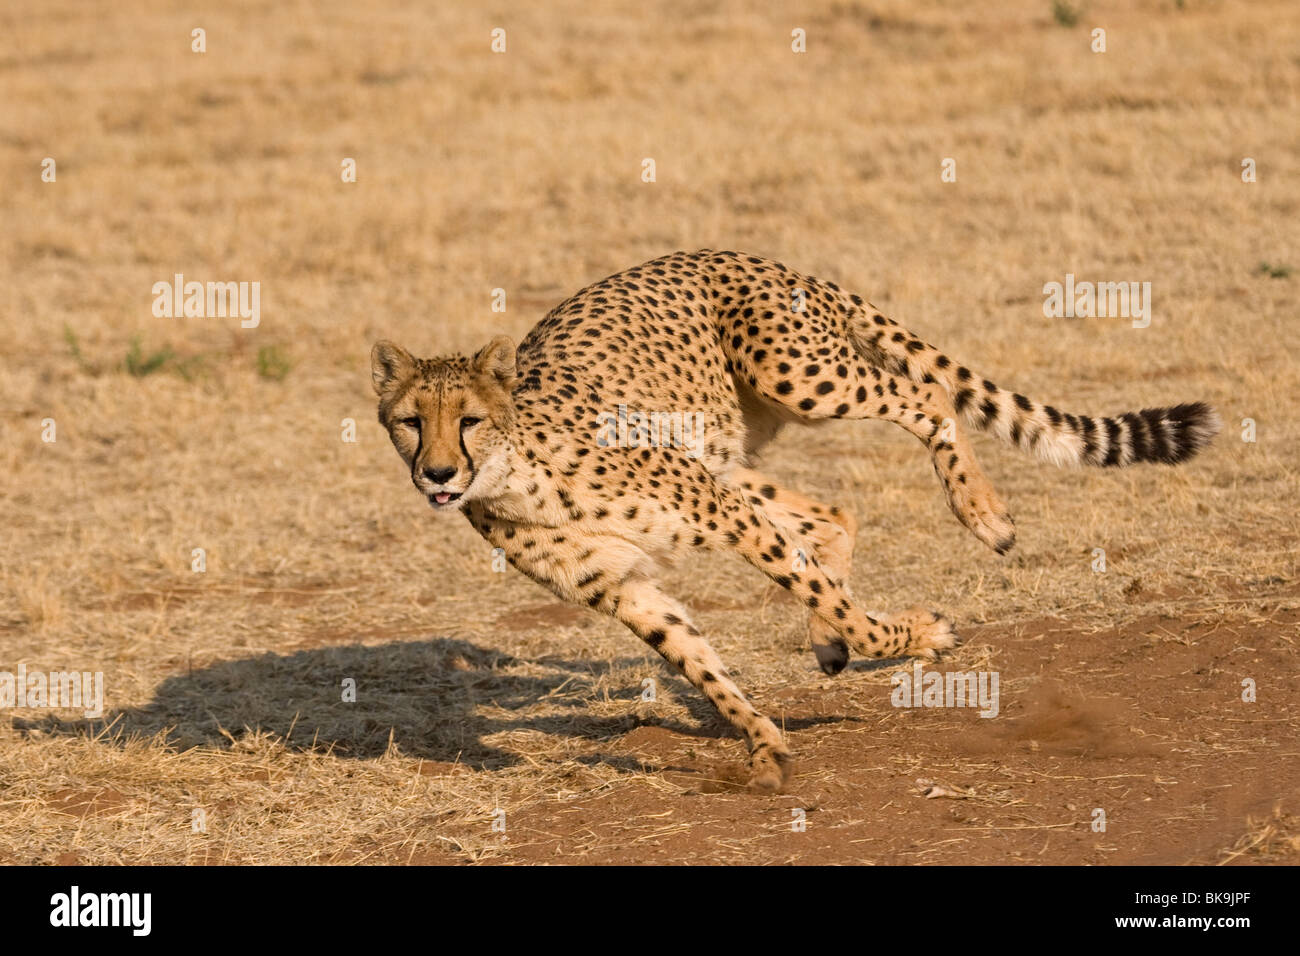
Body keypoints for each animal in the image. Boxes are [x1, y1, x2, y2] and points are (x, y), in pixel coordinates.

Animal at [371, 248, 1222, 790]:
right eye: (410, 422)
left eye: (469, 420)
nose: (438, 474)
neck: (520, 474)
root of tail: (747, 256)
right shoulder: (625, 588)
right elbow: (697, 658)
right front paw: (765, 745)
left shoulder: (720, 516)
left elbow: (825, 598)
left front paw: (911, 634)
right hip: (734, 450)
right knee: (832, 514)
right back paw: (830, 641)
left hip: (797, 380)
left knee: (925, 398)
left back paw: (982, 512)